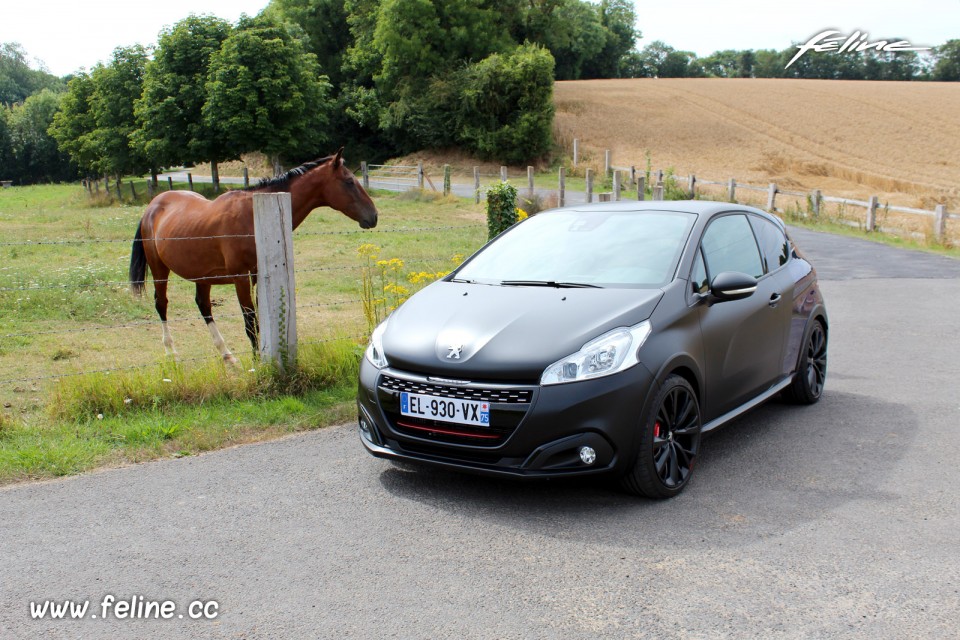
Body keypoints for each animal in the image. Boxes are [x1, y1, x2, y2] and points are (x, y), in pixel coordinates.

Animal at [129, 147, 376, 362]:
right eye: (349, 182)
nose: (373, 216)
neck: (252, 215)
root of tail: (152, 207)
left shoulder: (257, 276)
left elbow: (259, 319)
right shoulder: (241, 277)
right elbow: (250, 321)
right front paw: (257, 363)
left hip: (203, 276)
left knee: (204, 306)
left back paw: (228, 357)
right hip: (159, 269)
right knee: (161, 304)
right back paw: (172, 353)